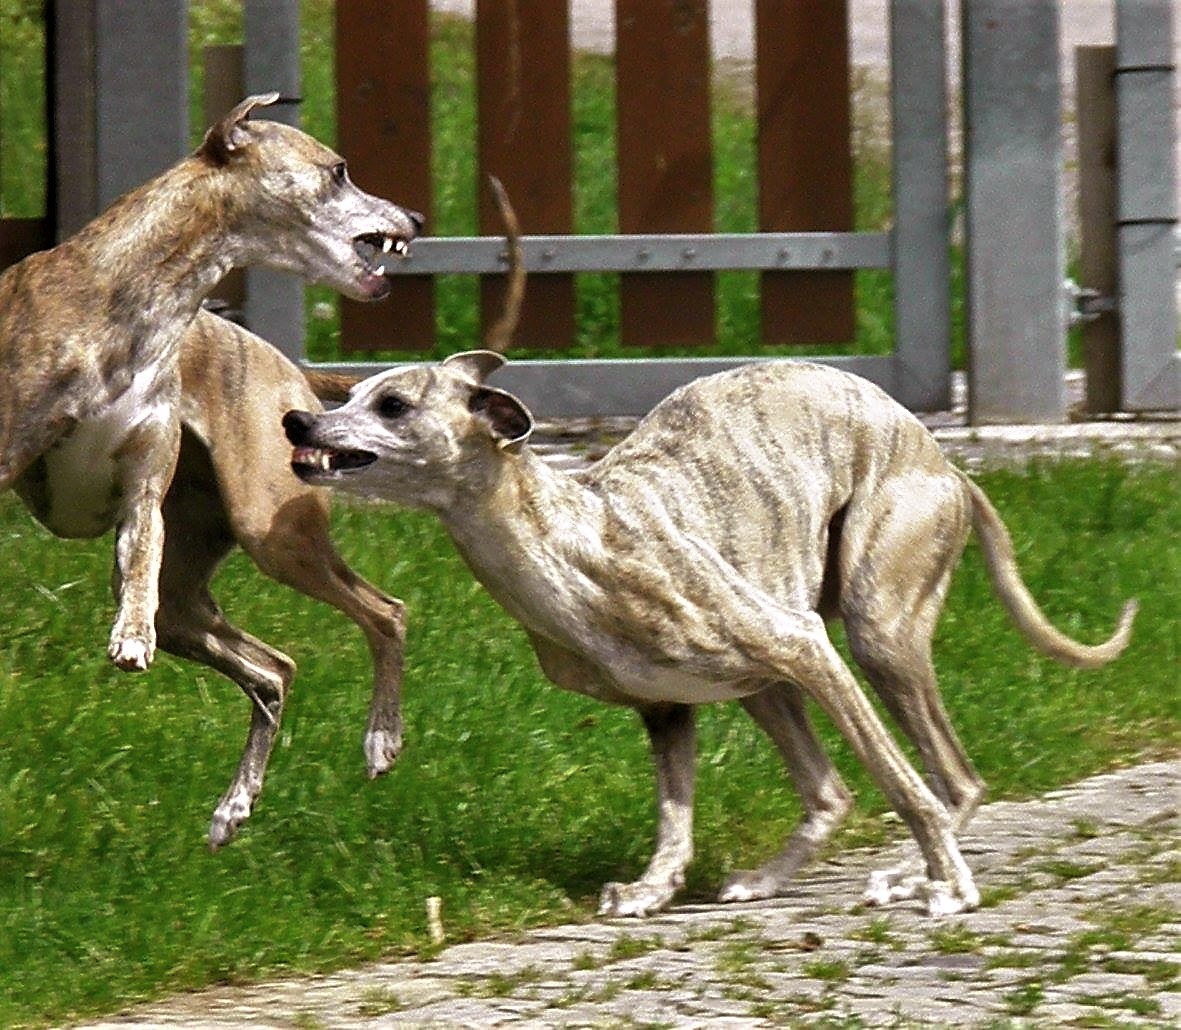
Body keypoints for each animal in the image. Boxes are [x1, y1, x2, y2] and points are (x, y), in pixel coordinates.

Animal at [0, 92, 422, 670]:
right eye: (339, 172)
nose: (417, 218)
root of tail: (290, 366)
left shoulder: (145, 484)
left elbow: (141, 556)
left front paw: (132, 634)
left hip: (269, 529)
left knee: (380, 616)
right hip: (220, 573)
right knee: (283, 662)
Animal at [278, 354, 1133, 916]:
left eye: (393, 404)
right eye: (349, 389)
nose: (296, 420)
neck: (567, 540)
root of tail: (947, 465)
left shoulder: (800, 643)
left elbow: (901, 784)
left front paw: (950, 885)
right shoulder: (666, 707)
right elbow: (674, 818)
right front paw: (651, 889)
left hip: (870, 633)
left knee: (949, 780)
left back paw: (923, 875)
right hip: (766, 685)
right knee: (829, 791)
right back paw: (770, 879)